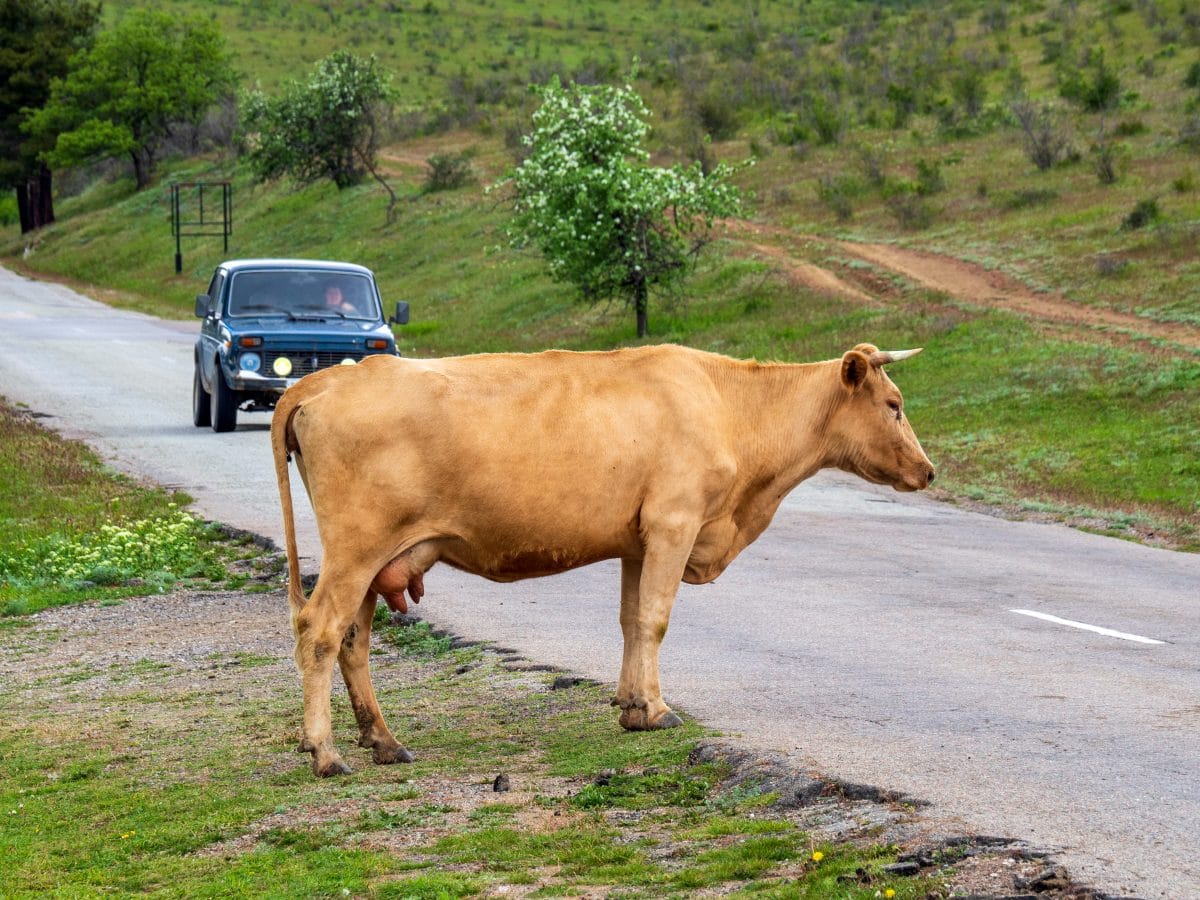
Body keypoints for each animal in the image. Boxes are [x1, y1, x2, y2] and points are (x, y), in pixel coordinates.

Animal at [272, 340, 936, 777]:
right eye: (894, 404)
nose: (929, 471)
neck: (728, 406)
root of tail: (325, 381)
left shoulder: (637, 540)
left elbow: (630, 619)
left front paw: (632, 706)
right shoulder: (674, 522)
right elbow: (656, 619)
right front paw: (659, 709)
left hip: (374, 560)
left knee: (353, 640)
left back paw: (382, 741)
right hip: (356, 550)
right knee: (320, 631)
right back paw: (326, 752)